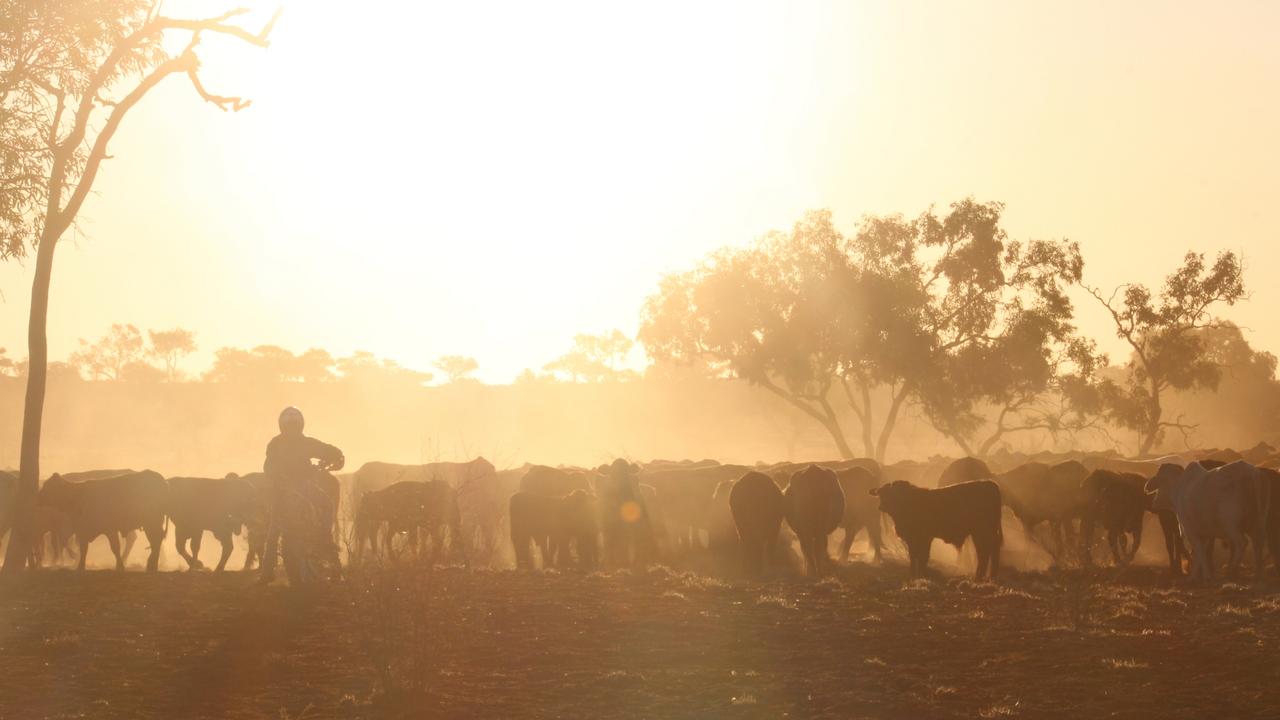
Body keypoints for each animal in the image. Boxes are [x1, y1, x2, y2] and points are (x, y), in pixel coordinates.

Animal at [870, 476, 998, 576]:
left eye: (894, 494)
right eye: (882, 494)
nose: (881, 507)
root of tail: (990, 483)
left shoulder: (924, 538)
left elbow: (922, 556)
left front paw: (921, 573)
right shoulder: (913, 539)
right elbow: (914, 556)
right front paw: (914, 574)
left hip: (982, 532)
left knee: (985, 552)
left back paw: (980, 576)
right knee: (986, 552)